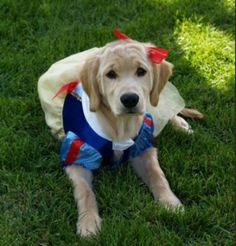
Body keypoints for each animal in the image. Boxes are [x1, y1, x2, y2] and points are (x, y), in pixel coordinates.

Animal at [38, 31, 203, 236]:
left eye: (141, 71)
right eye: (110, 74)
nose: (130, 99)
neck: (119, 126)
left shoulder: (143, 147)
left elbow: (158, 175)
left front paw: (171, 203)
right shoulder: (77, 155)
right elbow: (85, 192)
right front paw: (88, 222)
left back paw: (180, 123)